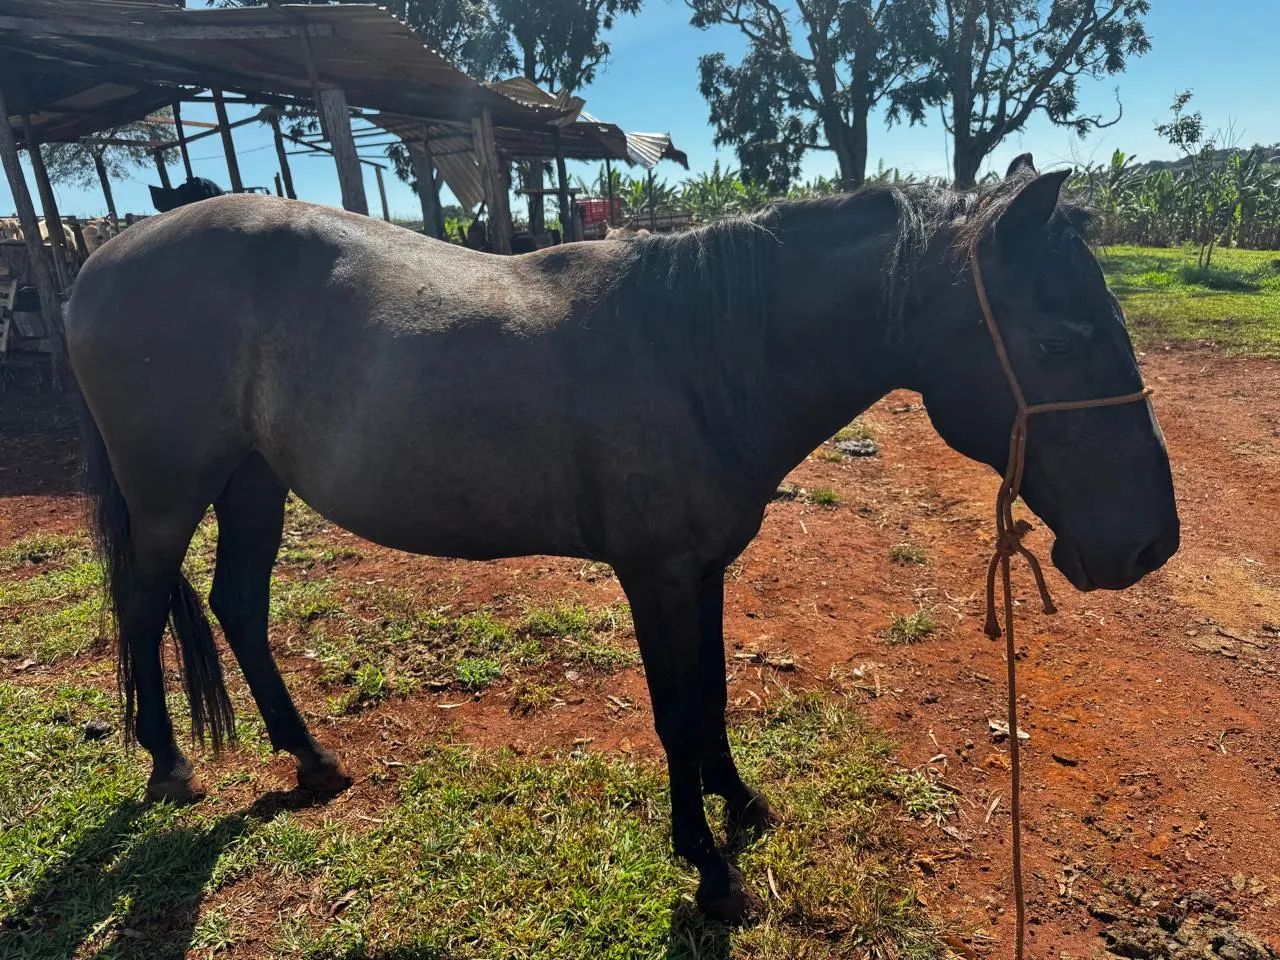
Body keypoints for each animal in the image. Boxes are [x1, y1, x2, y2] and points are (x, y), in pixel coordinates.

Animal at [67, 154, 1178, 923]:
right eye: (1062, 336)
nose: (1148, 546)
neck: (698, 351)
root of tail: (103, 258)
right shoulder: (656, 576)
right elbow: (676, 713)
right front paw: (709, 865)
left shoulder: (704, 570)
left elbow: (715, 693)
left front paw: (740, 803)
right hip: (169, 494)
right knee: (144, 607)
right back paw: (169, 765)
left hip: (254, 482)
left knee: (238, 608)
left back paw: (308, 758)